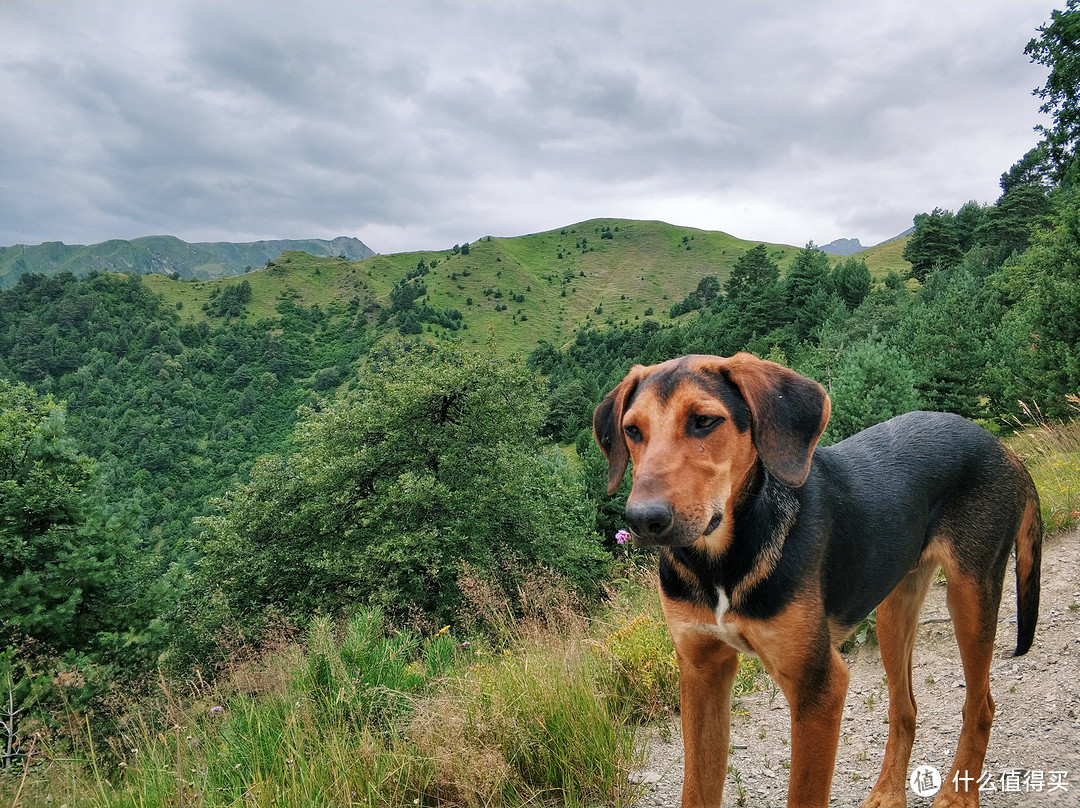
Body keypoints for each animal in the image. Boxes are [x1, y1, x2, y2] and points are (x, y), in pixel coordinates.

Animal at [596, 354, 1041, 808]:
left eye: (704, 421)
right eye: (633, 430)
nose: (643, 521)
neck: (721, 564)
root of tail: (1002, 449)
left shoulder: (818, 686)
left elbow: (803, 793)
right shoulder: (702, 672)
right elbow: (697, 791)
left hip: (970, 595)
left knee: (981, 705)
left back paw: (956, 795)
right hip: (893, 609)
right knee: (905, 708)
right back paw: (887, 793)